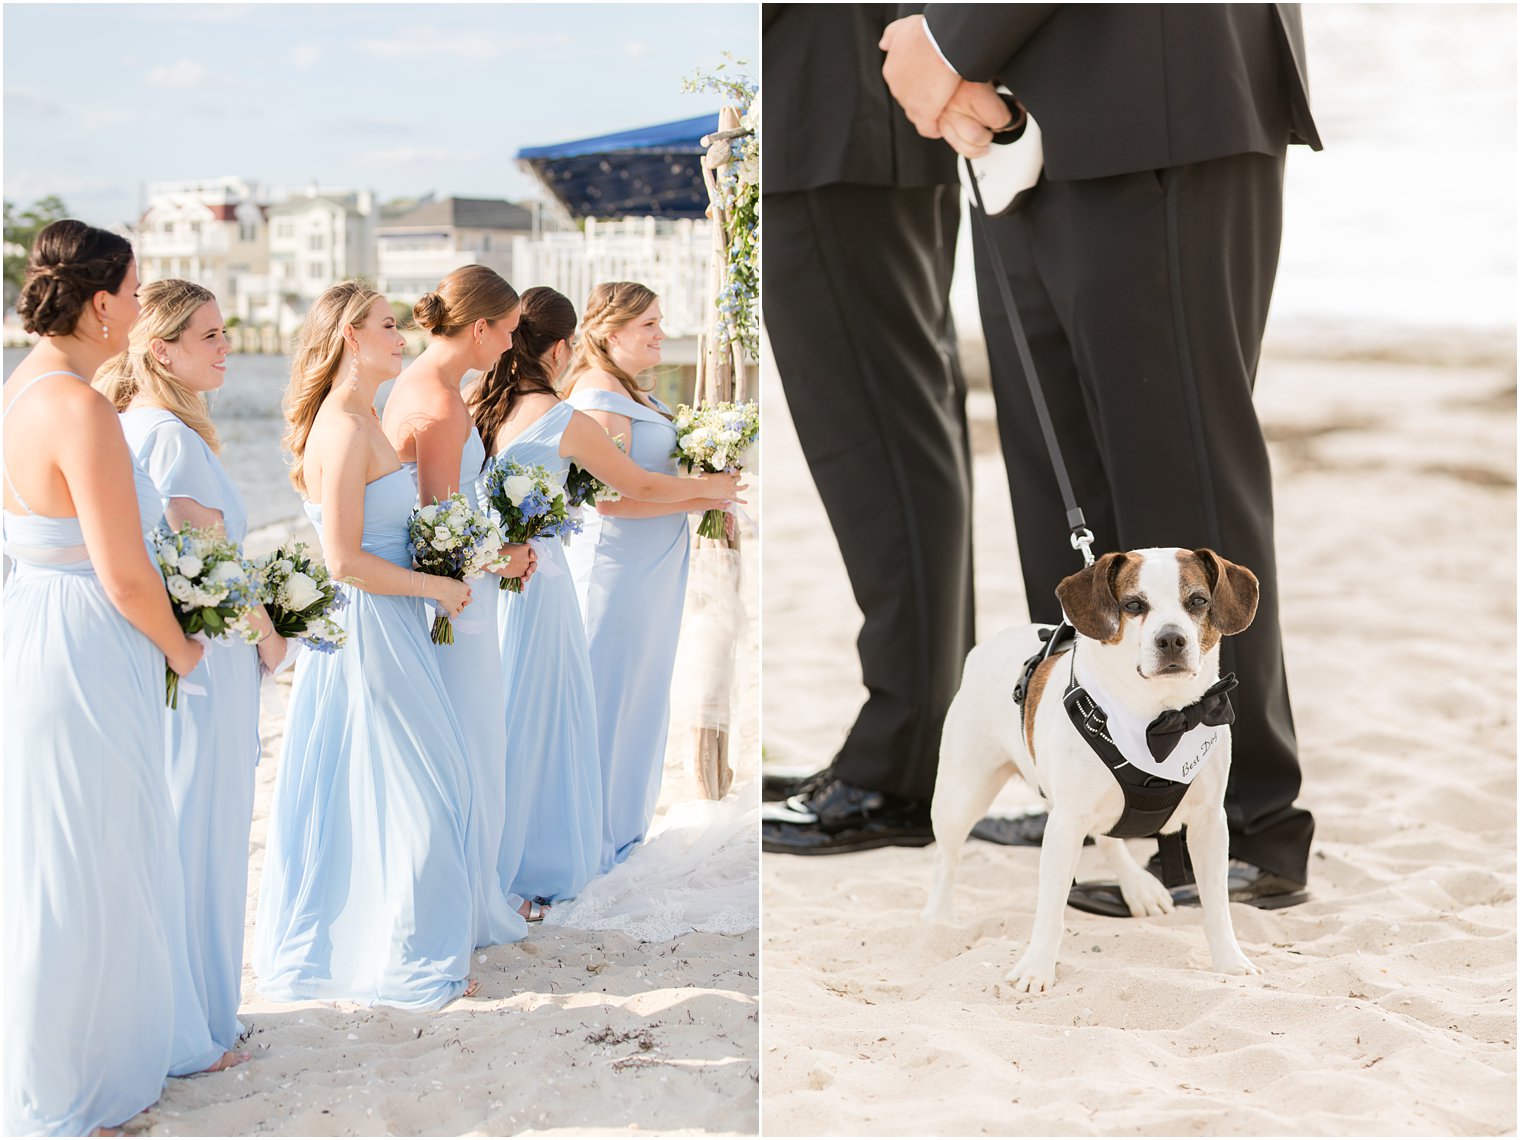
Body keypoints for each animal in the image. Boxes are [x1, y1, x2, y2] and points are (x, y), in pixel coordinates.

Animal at [924, 550, 1258, 997]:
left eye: (1198, 601)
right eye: (1133, 605)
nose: (1172, 639)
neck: (1164, 719)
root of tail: (991, 643)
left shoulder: (1209, 822)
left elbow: (1218, 905)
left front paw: (1229, 961)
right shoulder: (1064, 826)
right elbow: (1050, 910)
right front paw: (1036, 968)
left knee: (1108, 837)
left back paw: (1137, 886)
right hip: (961, 795)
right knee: (947, 857)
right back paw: (939, 918)